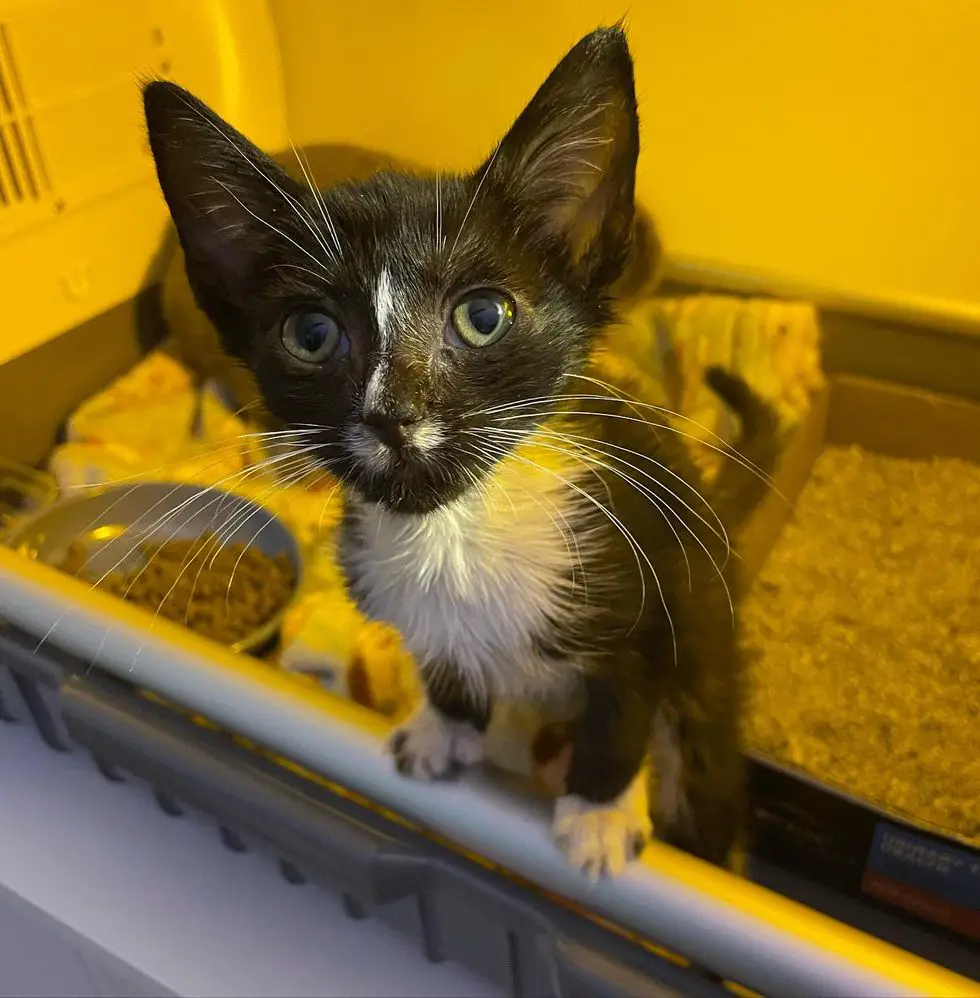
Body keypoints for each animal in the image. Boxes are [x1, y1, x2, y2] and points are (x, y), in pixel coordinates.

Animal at [145, 27, 776, 880]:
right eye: (310, 334)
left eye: (482, 317)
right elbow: (447, 666)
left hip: (706, 628)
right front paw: (444, 728)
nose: (394, 414)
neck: (457, 532)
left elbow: (621, 711)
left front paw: (599, 813)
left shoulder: (644, 584)